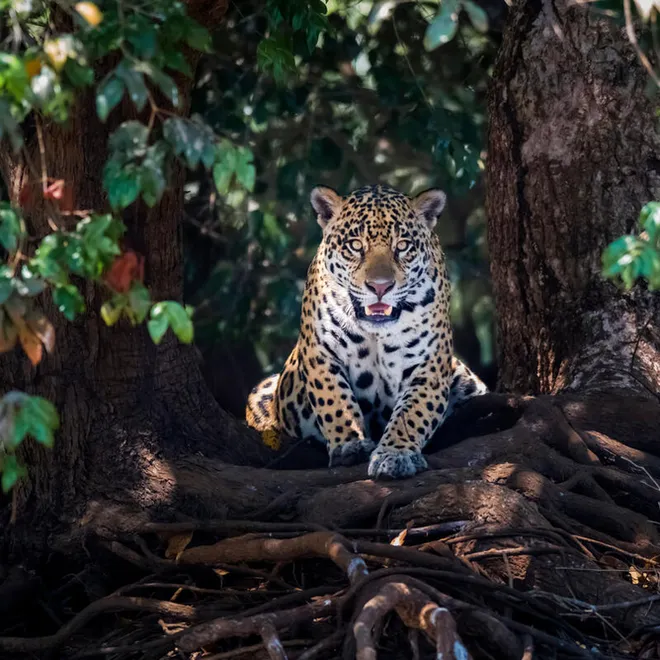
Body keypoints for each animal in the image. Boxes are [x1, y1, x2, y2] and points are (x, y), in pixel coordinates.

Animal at [245, 183, 488, 479]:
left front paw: (395, 454)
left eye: (402, 246)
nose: (380, 286)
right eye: (356, 246)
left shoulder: (429, 365)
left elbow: (412, 412)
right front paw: (350, 445)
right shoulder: (319, 352)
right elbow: (334, 401)